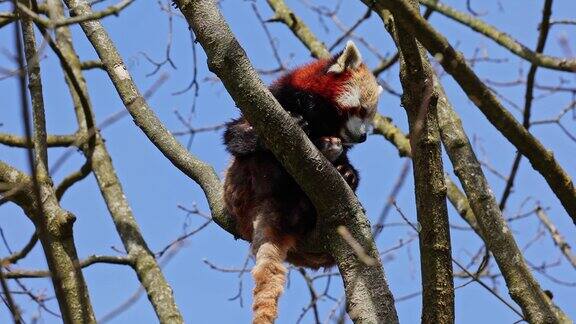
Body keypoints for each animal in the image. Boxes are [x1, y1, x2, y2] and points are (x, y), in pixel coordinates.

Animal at [223, 41, 380, 324]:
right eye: (361, 110)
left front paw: (346, 169)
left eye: (371, 117)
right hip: (243, 180)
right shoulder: (274, 99)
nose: (363, 137)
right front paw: (298, 123)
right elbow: (235, 135)